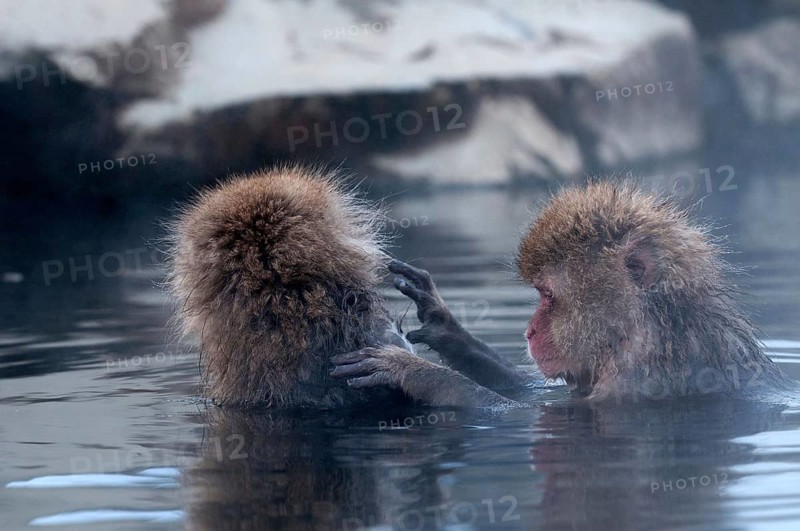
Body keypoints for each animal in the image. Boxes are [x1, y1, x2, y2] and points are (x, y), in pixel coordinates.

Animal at [331, 181, 795, 404]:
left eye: (548, 296)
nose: (529, 332)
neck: (648, 331)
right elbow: (532, 391)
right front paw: (444, 325)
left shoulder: (640, 378)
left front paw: (419, 373)